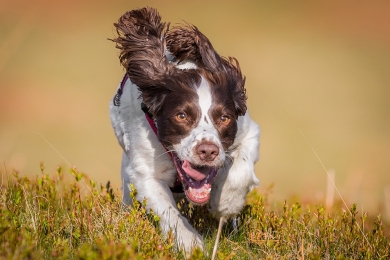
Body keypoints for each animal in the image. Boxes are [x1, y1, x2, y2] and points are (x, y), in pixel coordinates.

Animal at [109, 7, 260, 254]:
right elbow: (168, 212)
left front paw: (226, 203)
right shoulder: (143, 172)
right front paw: (191, 245)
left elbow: (241, 170)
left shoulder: (249, 131)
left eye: (224, 118)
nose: (207, 151)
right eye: (181, 116)